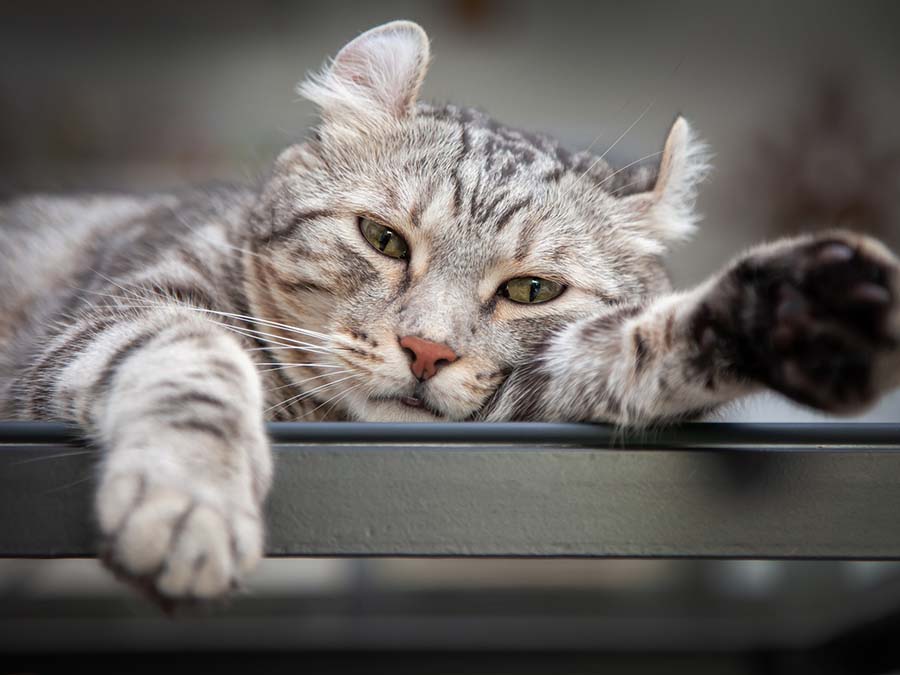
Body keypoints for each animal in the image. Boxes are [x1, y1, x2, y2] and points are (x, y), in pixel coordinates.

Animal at [1, 21, 900, 604]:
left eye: (531, 290)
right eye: (382, 238)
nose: (426, 349)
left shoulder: (535, 390)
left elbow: (632, 346)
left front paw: (798, 312)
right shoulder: (106, 320)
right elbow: (193, 359)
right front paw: (190, 502)